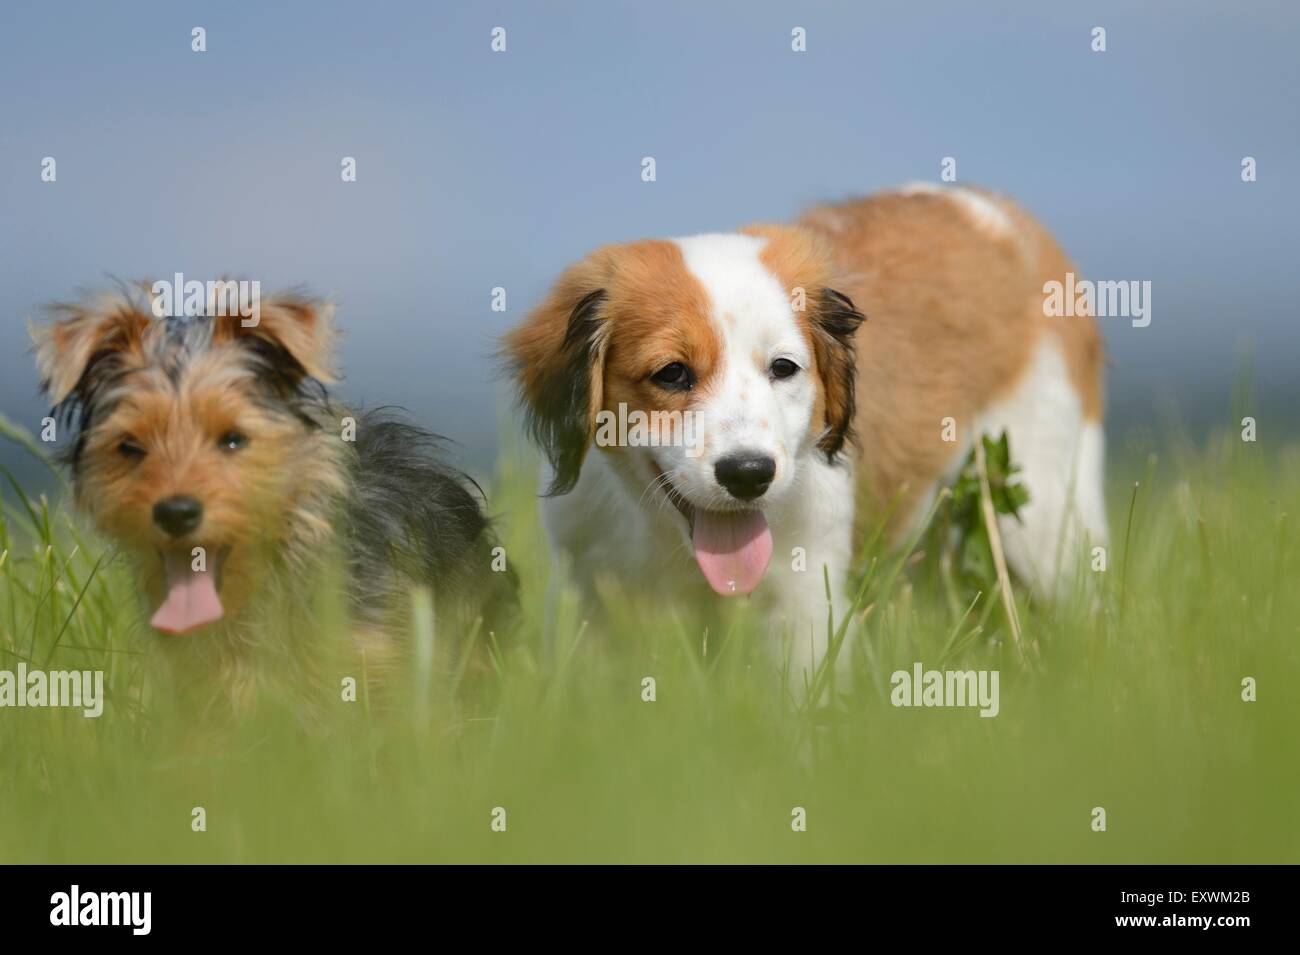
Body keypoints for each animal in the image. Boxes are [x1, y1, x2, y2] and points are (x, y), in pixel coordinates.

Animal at [506, 187, 1107, 675]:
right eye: (672, 373)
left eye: (783, 368)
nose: (749, 474)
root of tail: (1000, 215)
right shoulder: (588, 597)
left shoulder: (805, 602)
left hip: (1042, 508)